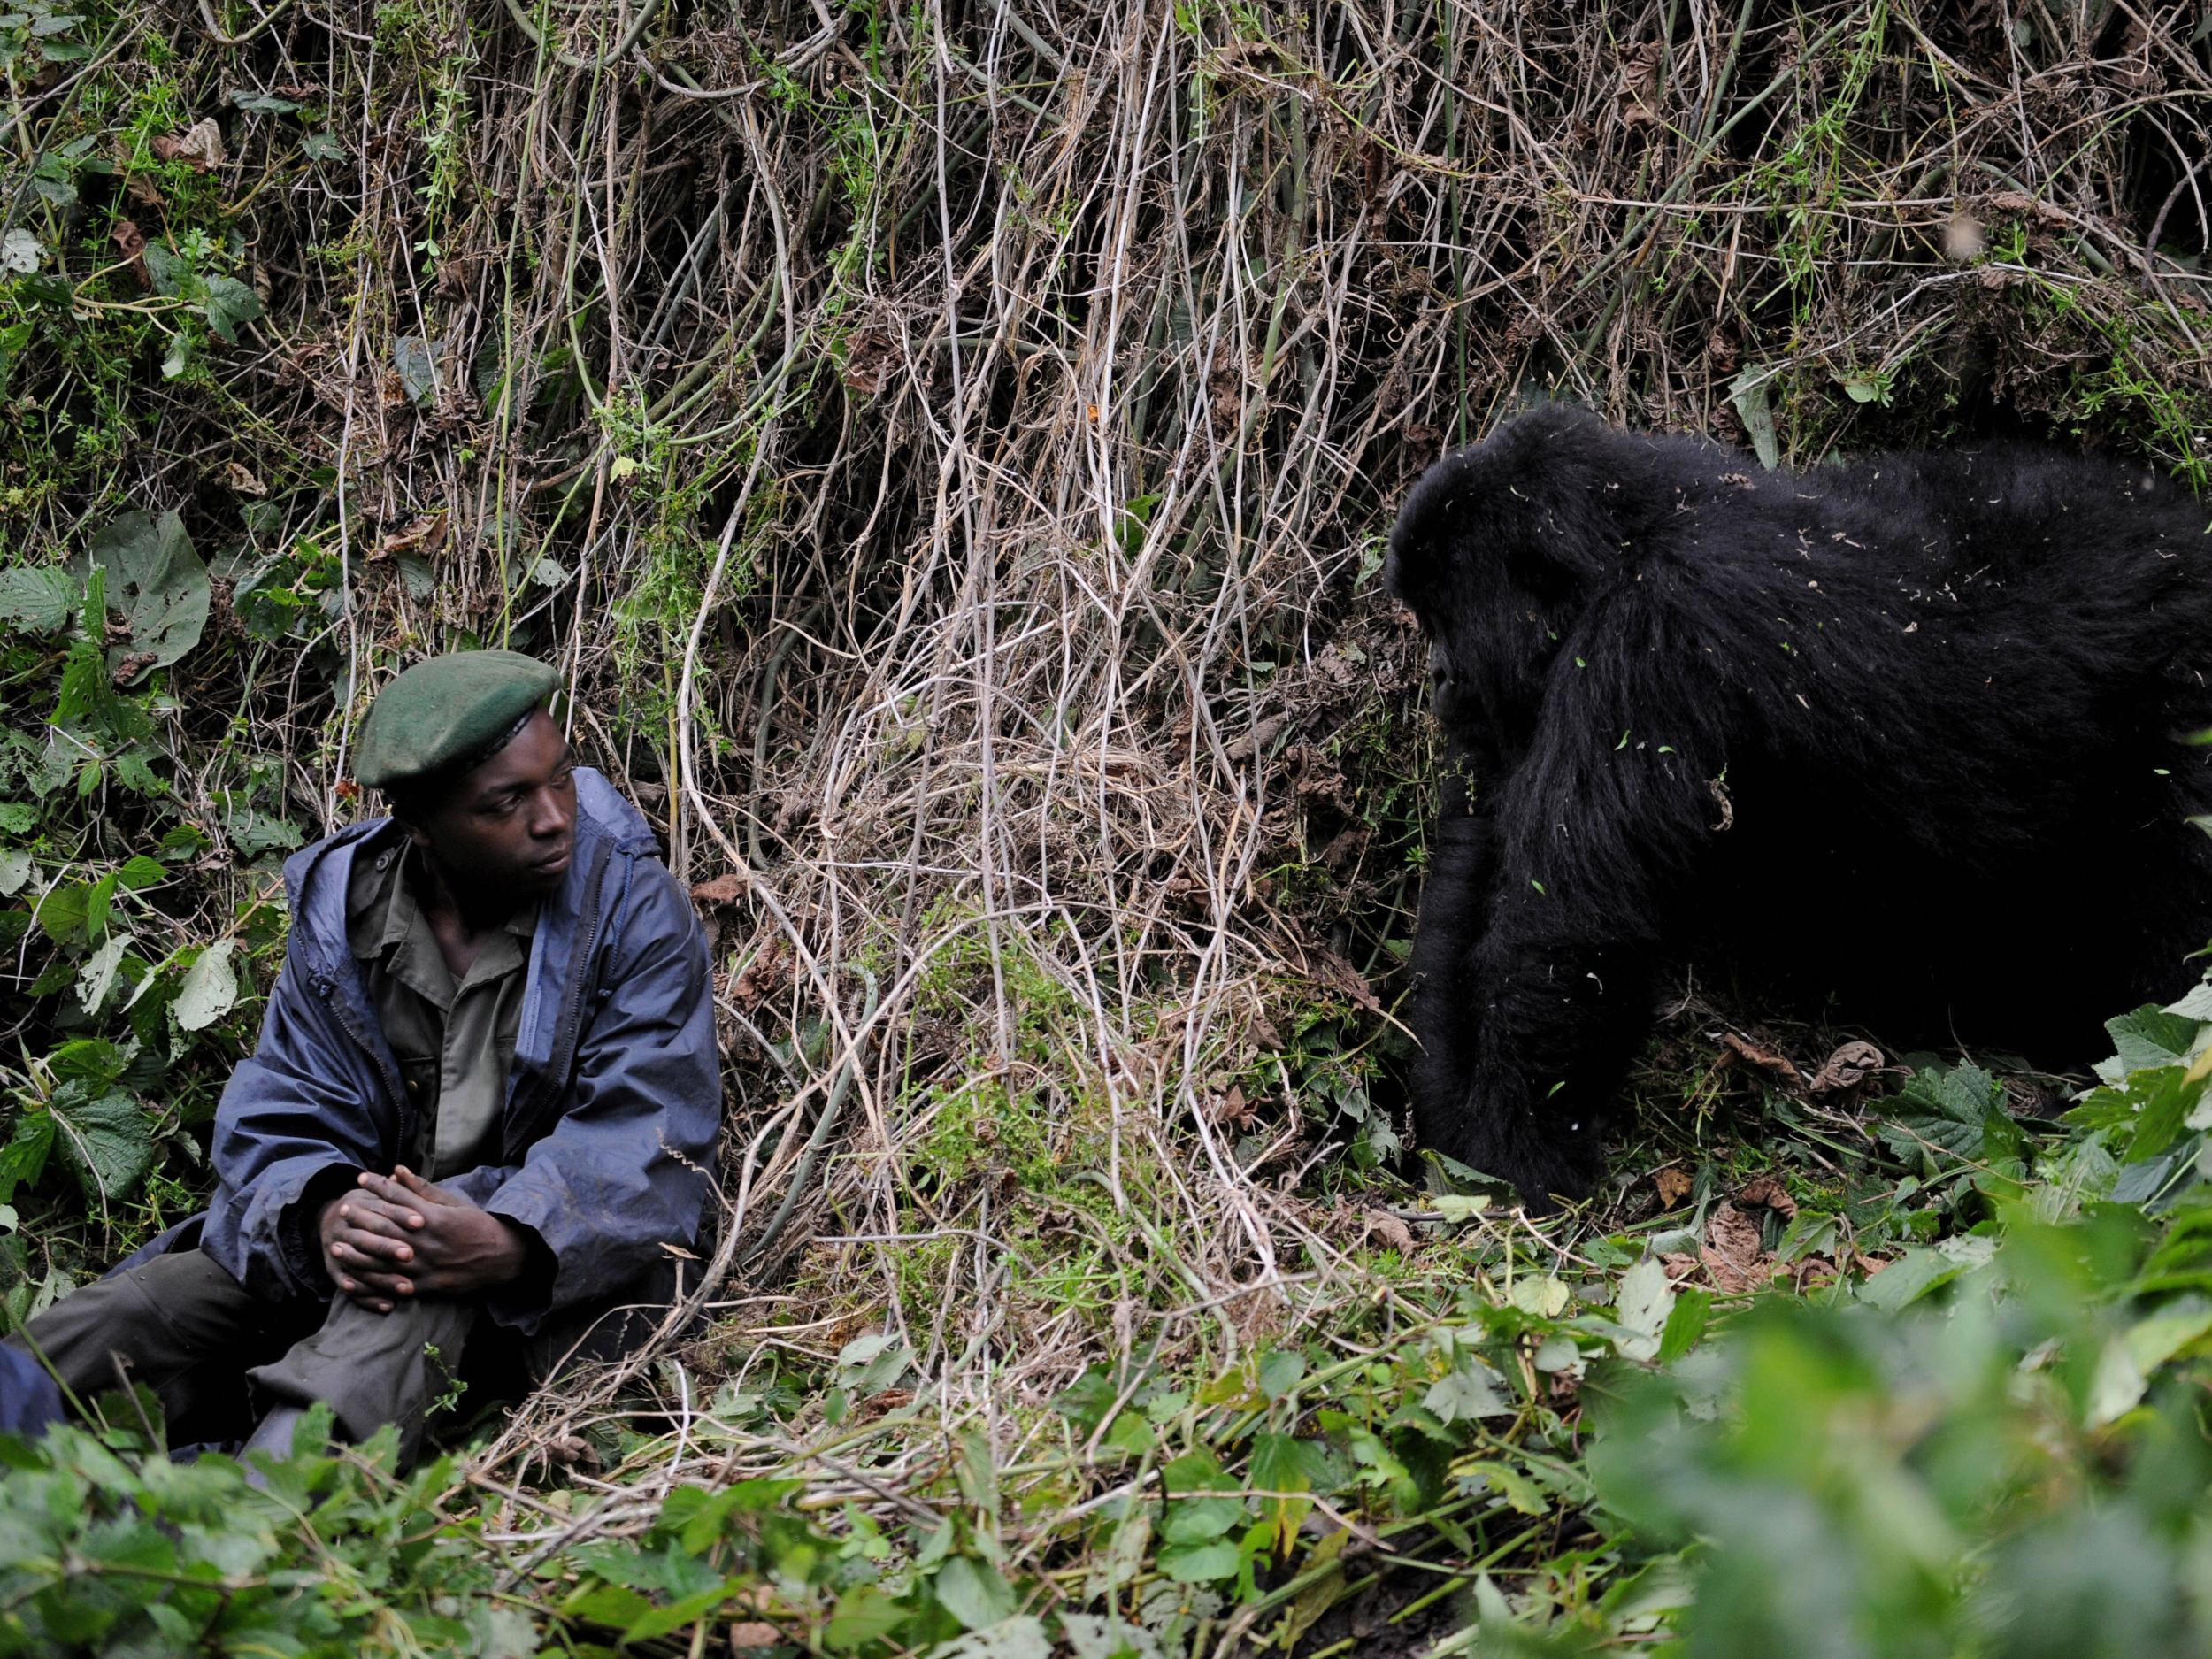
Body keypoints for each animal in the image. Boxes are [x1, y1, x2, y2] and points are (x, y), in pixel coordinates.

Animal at [1389, 403, 2212, 1212]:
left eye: (1446, 618)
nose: (1439, 680)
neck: (1635, 530)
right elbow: (1475, 872)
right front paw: (1456, 1135)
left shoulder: (1653, 637)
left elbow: (1570, 926)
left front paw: (1517, 1153)